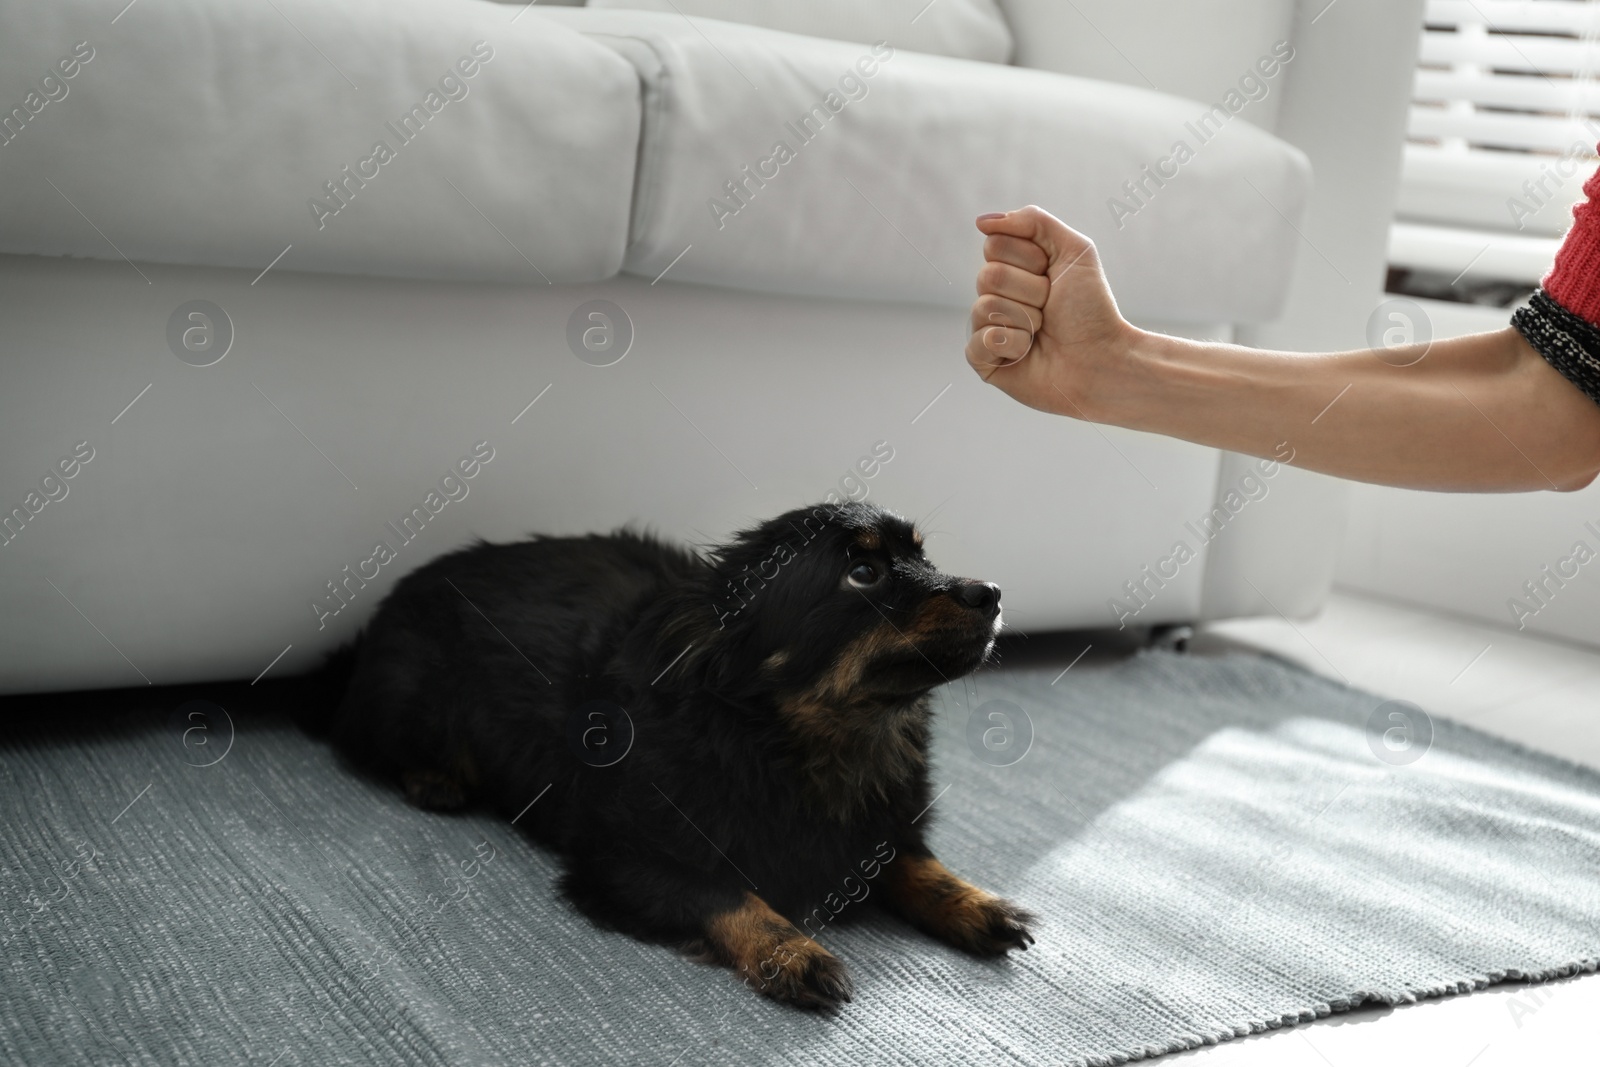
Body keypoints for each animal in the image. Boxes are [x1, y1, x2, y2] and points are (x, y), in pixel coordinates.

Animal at [313, 502, 1036, 1011]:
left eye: (925, 557)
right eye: (864, 573)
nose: (993, 590)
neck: (822, 741)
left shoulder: (883, 828)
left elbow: (916, 864)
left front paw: (978, 903)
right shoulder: (623, 861)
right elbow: (727, 892)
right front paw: (793, 951)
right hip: (411, 705)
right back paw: (432, 779)